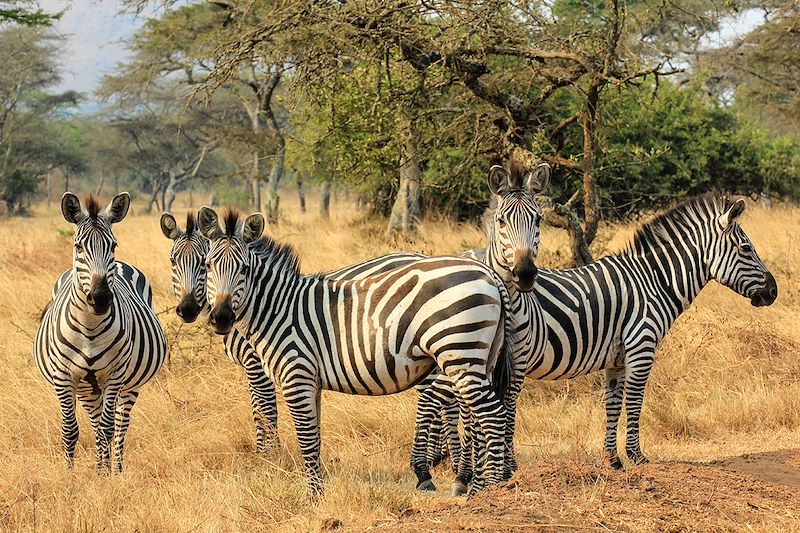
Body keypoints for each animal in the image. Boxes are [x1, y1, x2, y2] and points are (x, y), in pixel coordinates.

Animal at [35, 193, 166, 472]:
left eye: (113, 246)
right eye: (78, 247)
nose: (101, 298)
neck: (89, 328)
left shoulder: (114, 375)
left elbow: (108, 429)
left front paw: (105, 476)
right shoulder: (64, 377)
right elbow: (70, 430)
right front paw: (70, 475)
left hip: (128, 385)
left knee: (119, 426)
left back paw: (115, 468)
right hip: (87, 388)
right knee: (95, 424)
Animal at [197, 207, 516, 494]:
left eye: (244, 269)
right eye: (209, 266)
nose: (221, 318)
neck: (279, 309)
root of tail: (488, 273)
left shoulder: (297, 376)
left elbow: (305, 439)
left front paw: (313, 497)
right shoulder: (312, 382)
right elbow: (315, 437)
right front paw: (318, 490)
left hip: (460, 352)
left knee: (491, 413)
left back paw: (487, 489)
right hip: (479, 356)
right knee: (479, 413)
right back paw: (478, 483)